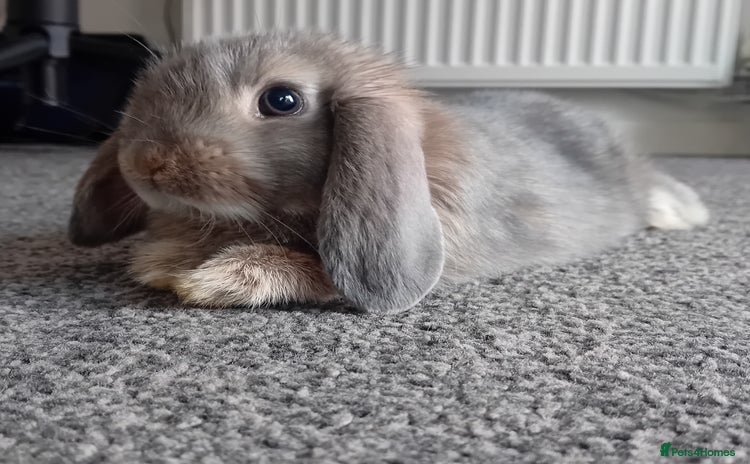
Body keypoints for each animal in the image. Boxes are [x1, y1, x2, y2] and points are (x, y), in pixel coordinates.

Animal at [68, 31, 709, 313]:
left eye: (282, 100)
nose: (146, 162)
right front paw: (166, 262)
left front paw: (212, 279)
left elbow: (317, 269)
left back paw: (685, 213)